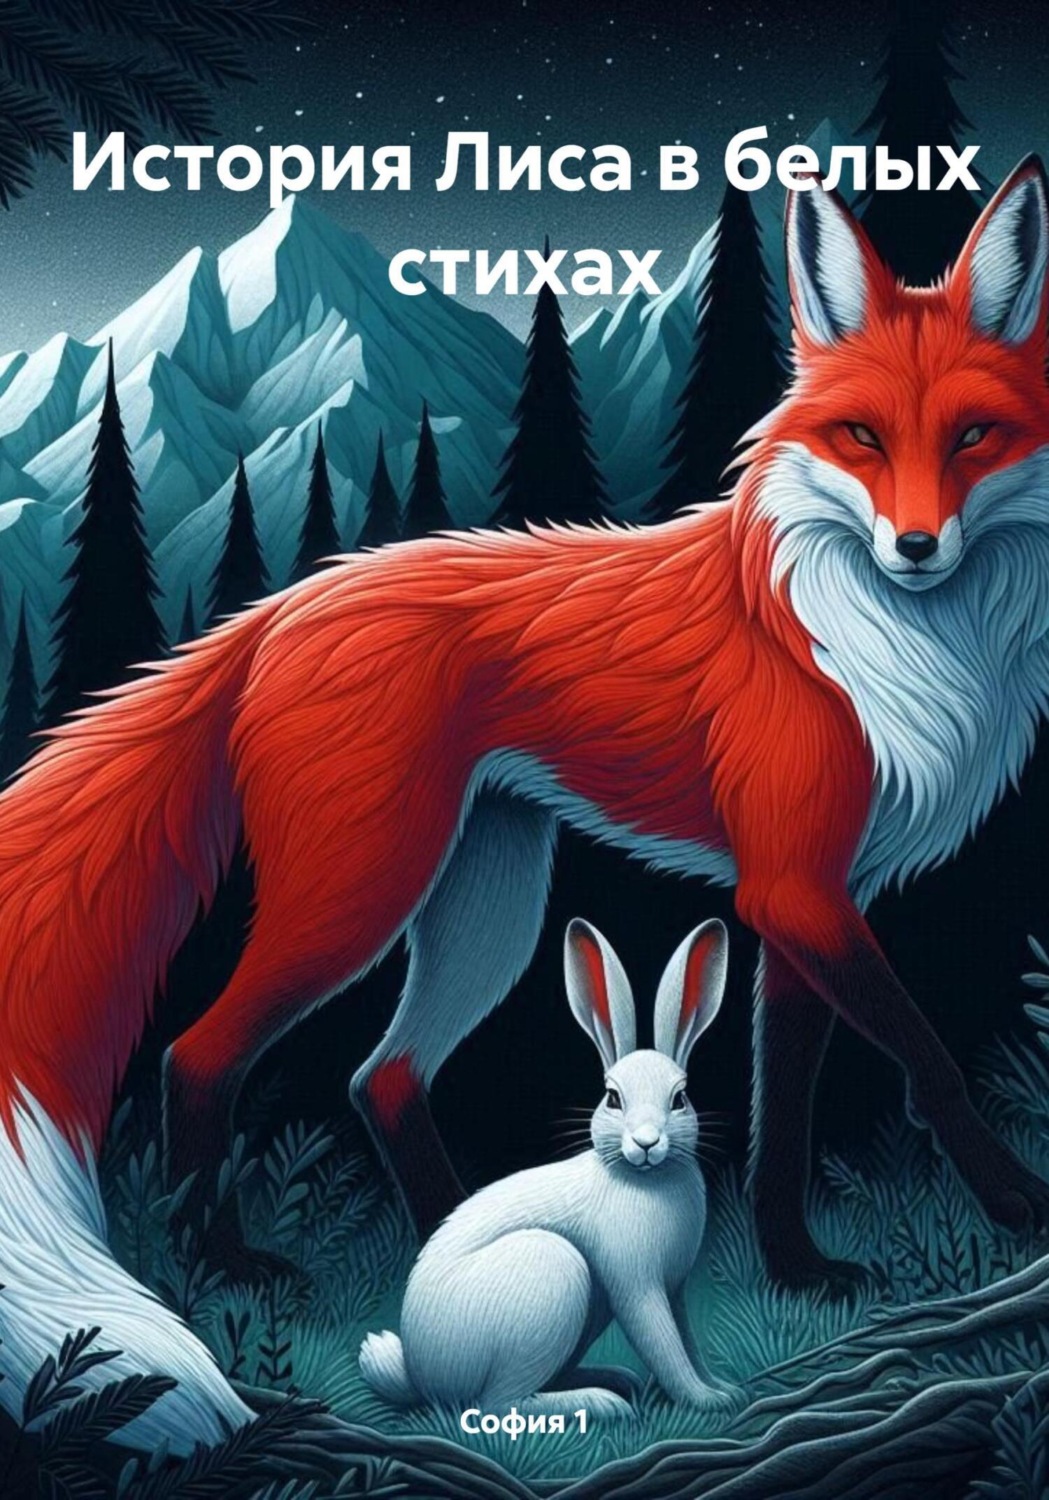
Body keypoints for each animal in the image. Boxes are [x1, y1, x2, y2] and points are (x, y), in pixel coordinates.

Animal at [1, 155, 1049, 1446]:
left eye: (972, 437)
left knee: (383, 1077)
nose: (912, 547)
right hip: (357, 891)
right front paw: (1018, 1203)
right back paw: (228, 1268)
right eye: (859, 436)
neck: (881, 647)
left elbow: (785, 1108)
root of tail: (282, 609)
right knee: (201, 1055)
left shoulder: (803, 897)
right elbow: (928, 1059)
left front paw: (798, 1268)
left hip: (487, 902)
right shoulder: (796, 891)